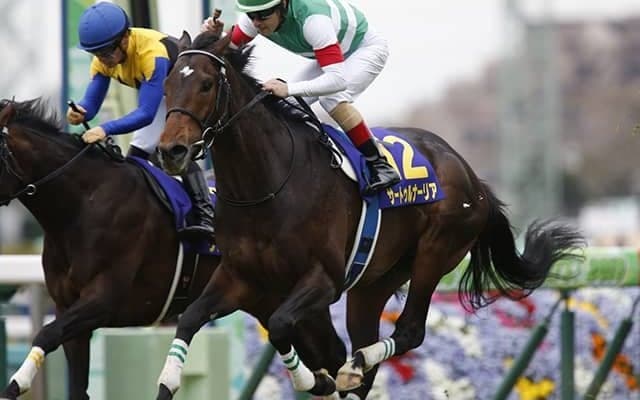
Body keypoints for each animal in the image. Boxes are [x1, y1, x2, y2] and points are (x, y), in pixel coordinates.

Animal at [0, 98, 221, 400]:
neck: (84, 204)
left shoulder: (103, 299)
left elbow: (46, 334)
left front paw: (17, 383)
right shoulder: (67, 308)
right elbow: (76, 385)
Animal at [154, 31, 585, 400]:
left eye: (206, 85)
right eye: (167, 85)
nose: (171, 151)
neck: (265, 187)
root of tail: (471, 177)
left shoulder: (323, 279)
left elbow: (278, 327)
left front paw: (317, 380)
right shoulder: (240, 277)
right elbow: (190, 319)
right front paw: (166, 383)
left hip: (436, 252)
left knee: (407, 332)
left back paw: (355, 365)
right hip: (373, 282)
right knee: (365, 349)